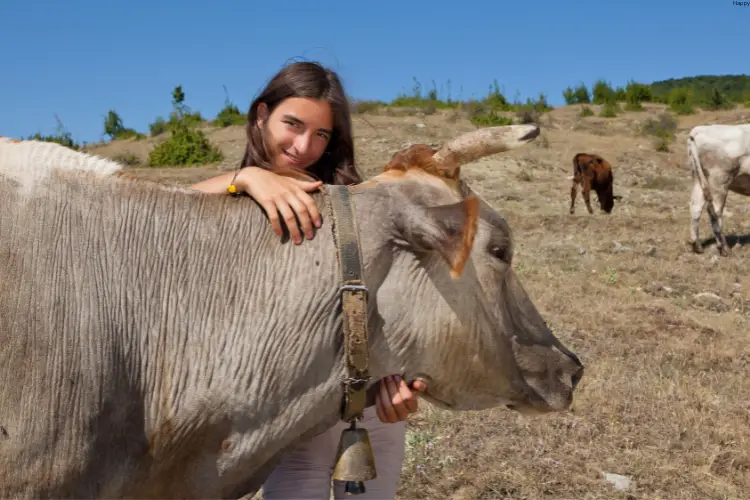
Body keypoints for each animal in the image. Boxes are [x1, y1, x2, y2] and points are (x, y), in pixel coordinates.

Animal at [692, 123, 750, 256]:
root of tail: (700, 129)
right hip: (719, 180)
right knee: (715, 211)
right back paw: (723, 248)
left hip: (699, 178)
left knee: (695, 207)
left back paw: (697, 246)